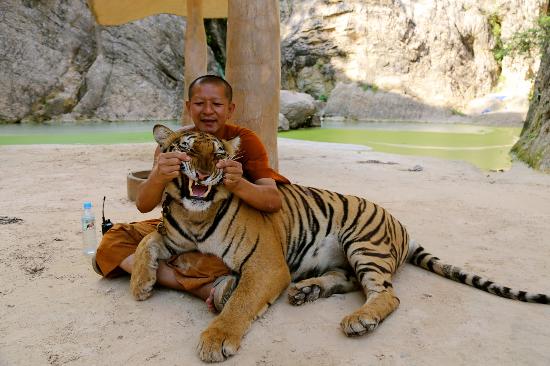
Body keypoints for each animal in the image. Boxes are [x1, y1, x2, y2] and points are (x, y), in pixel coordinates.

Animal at [130, 123, 550, 364]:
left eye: (219, 155)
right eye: (186, 149)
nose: (204, 173)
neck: (195, 215)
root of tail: (402, 225)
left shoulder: (265, 264)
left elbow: (241, 302)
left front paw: (217, 339)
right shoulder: (172, 236)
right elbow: (146, 240)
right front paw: (141, 284)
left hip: (362, 243)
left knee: (387, 293)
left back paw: (359, 319)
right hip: (344, 257)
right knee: (347, 280)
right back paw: (307, 291)